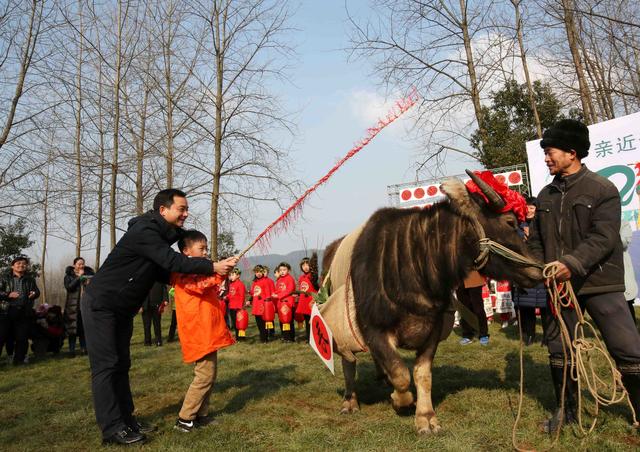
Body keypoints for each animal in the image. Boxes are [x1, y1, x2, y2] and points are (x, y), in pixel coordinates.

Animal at [320, 172, 540, 434]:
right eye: (509, 223)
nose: (537, 270)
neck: (415, 266)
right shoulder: (374, 330)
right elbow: (400, 373)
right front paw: (399, 401)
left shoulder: (432, 331)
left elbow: (421, 374)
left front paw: (425, 417)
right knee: (349, 363)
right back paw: (350, 401)